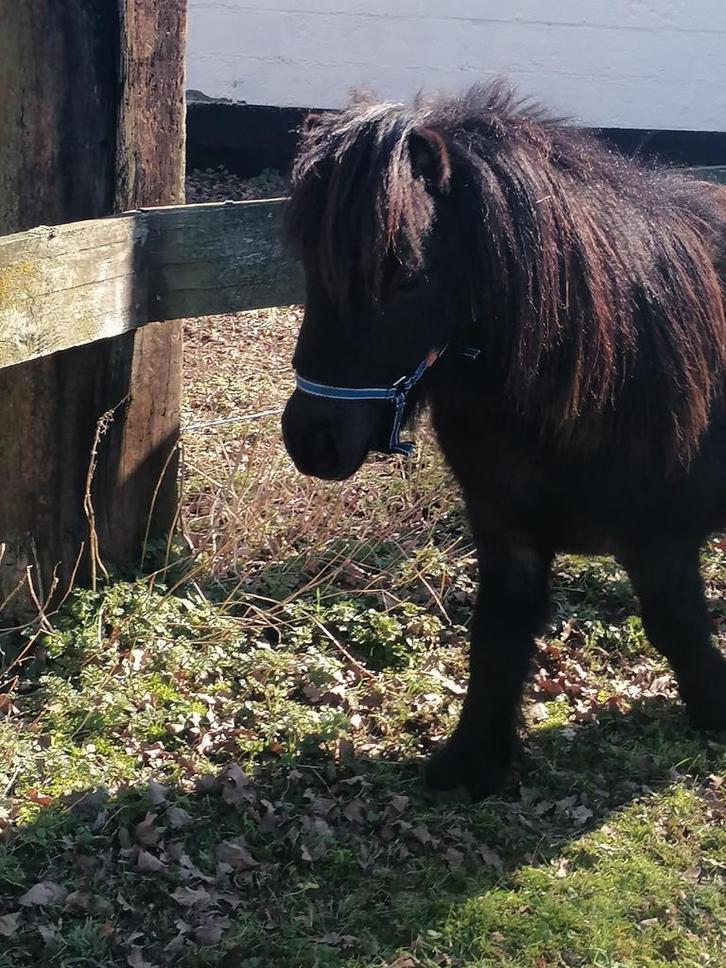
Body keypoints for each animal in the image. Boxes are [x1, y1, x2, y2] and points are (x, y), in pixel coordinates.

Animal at [280, 83, 726, 799]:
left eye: (403, 275)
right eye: (310, 268)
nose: (311, 439)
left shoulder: (660, 538)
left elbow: (675, 625)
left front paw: (716, 710)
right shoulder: (507, 533)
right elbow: (496, 636)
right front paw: (473, 762)